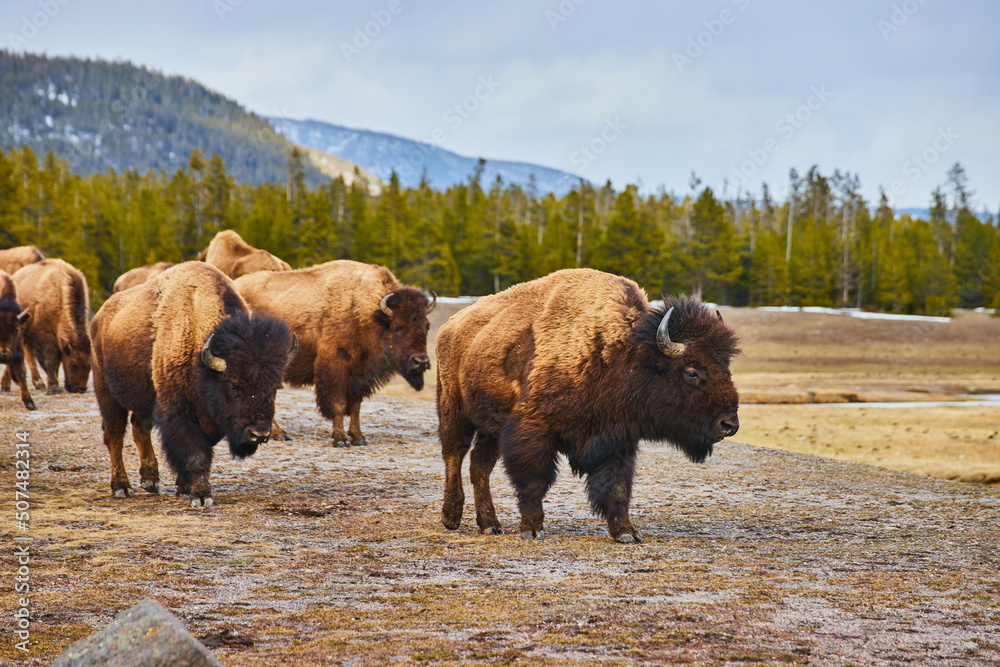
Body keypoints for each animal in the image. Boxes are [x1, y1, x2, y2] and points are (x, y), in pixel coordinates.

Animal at [9, 258, 92, 394]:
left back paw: (38, 383)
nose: (80, 389)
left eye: (89, 365)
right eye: (73, 364)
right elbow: (51, 359)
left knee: (28, 353)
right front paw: (53, 388)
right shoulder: (45, 335)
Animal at [90, 260, 296, 506]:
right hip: (106, 391)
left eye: (275, 388)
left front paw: (184, 488)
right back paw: (122, 487)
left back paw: (151, 481)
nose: (260, 433)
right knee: (114, 435)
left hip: (144, 397)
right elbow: (195, 455)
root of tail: (100, 316)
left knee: (140, 428)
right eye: (233, 386)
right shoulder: (179, 412)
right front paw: (201, 496)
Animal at [238, 260, 438, 448]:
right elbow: (339, 404)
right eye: (397, 327)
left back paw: (279, 433)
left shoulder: (359, 375)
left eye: (427, 326)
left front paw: (359, 438)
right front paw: (340, 439)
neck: (365, 312)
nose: (421, 362)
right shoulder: (336, 369)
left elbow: (356, 406)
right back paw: (278, 433)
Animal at [438, 268, 744, 544]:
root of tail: (450, 326)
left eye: (726, 366)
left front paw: (627, 533)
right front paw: (532, 530)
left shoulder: (617, 439)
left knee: (480, 465)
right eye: (692, 372)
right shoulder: (533, 429)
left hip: (490, 427)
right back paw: (451, 517)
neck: (624, 354)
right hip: (453, 410)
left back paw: (490, 524)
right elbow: (534, 481)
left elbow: (617, 487)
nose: (729, 424)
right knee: (454, 454)